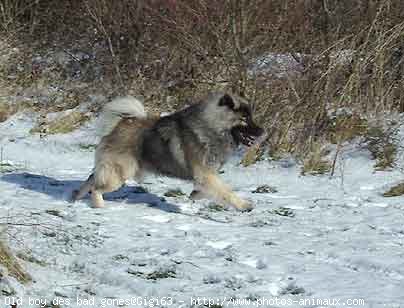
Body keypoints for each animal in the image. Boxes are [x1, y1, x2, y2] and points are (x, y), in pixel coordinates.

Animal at [72, 91, 266, 211]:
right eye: (244, 118)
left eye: (251, 117)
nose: (262, 131)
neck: (211, 127)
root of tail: (119, 125)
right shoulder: (205, 173)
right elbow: (226, 191)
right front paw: (244, 205)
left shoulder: (206, 175)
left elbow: (208, 189)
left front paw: (195, 195)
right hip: (119, 174)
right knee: (96, 187)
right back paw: (99, 205)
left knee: (91, 179)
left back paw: (75, 196)